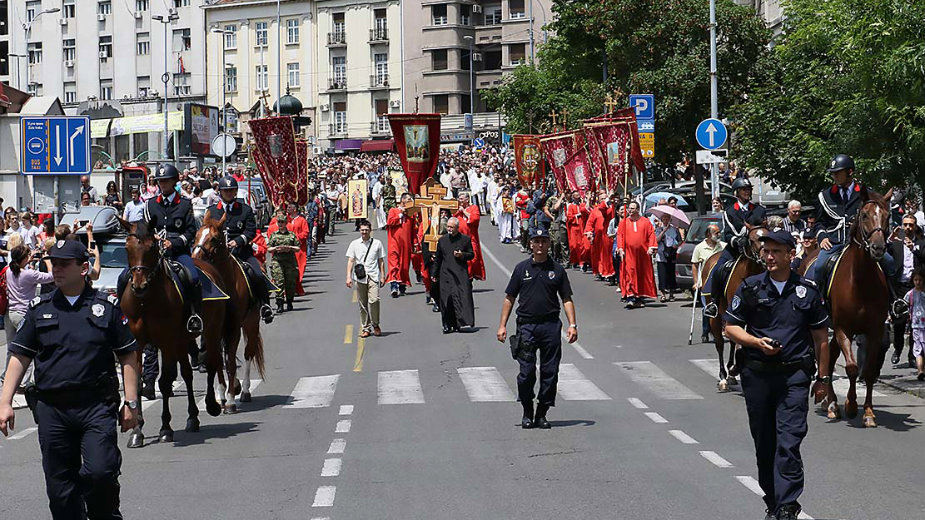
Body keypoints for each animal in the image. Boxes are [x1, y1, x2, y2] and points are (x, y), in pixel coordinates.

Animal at [120, 219, 226, 446]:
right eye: (127, 247)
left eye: (152, 247)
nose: (139, 285)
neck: (145, 301)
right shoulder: (137, 344)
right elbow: (138, 383)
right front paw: (137, 431)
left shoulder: (167, 342)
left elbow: (166, 382)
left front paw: (165, 428)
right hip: (182, 341)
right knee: (187, 373)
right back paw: (192, 418)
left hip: (211, 332)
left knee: (212, 362)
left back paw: (212, 404)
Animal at [191, 211, 264, 414]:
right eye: (196, 235)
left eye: (214, 239)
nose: (194, 256)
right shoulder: (214, 329)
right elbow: (218, 361)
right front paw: (222, 395)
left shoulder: (233, 327)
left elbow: (231, 362)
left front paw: (231, 400)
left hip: (251, 322)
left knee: (248, 353)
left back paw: (244, 390)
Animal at [700, 225, 764, 392]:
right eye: (753, 239)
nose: (765, 258)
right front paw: (735, 367)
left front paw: (736, 368)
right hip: (715, 317)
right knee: (720, 344)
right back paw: (723, 377)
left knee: (733, 341)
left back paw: (731, 374)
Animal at [796, 189, 892, 424]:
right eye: (865, 215)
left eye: (887, 216)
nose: (878, 248)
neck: (860, 281)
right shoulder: (843, 329)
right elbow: (851, 368)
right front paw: (850, 404)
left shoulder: (874, 331)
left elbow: (868, 371)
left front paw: (868, 412)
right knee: (826, 358)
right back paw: (831, 404)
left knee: (830, 357)